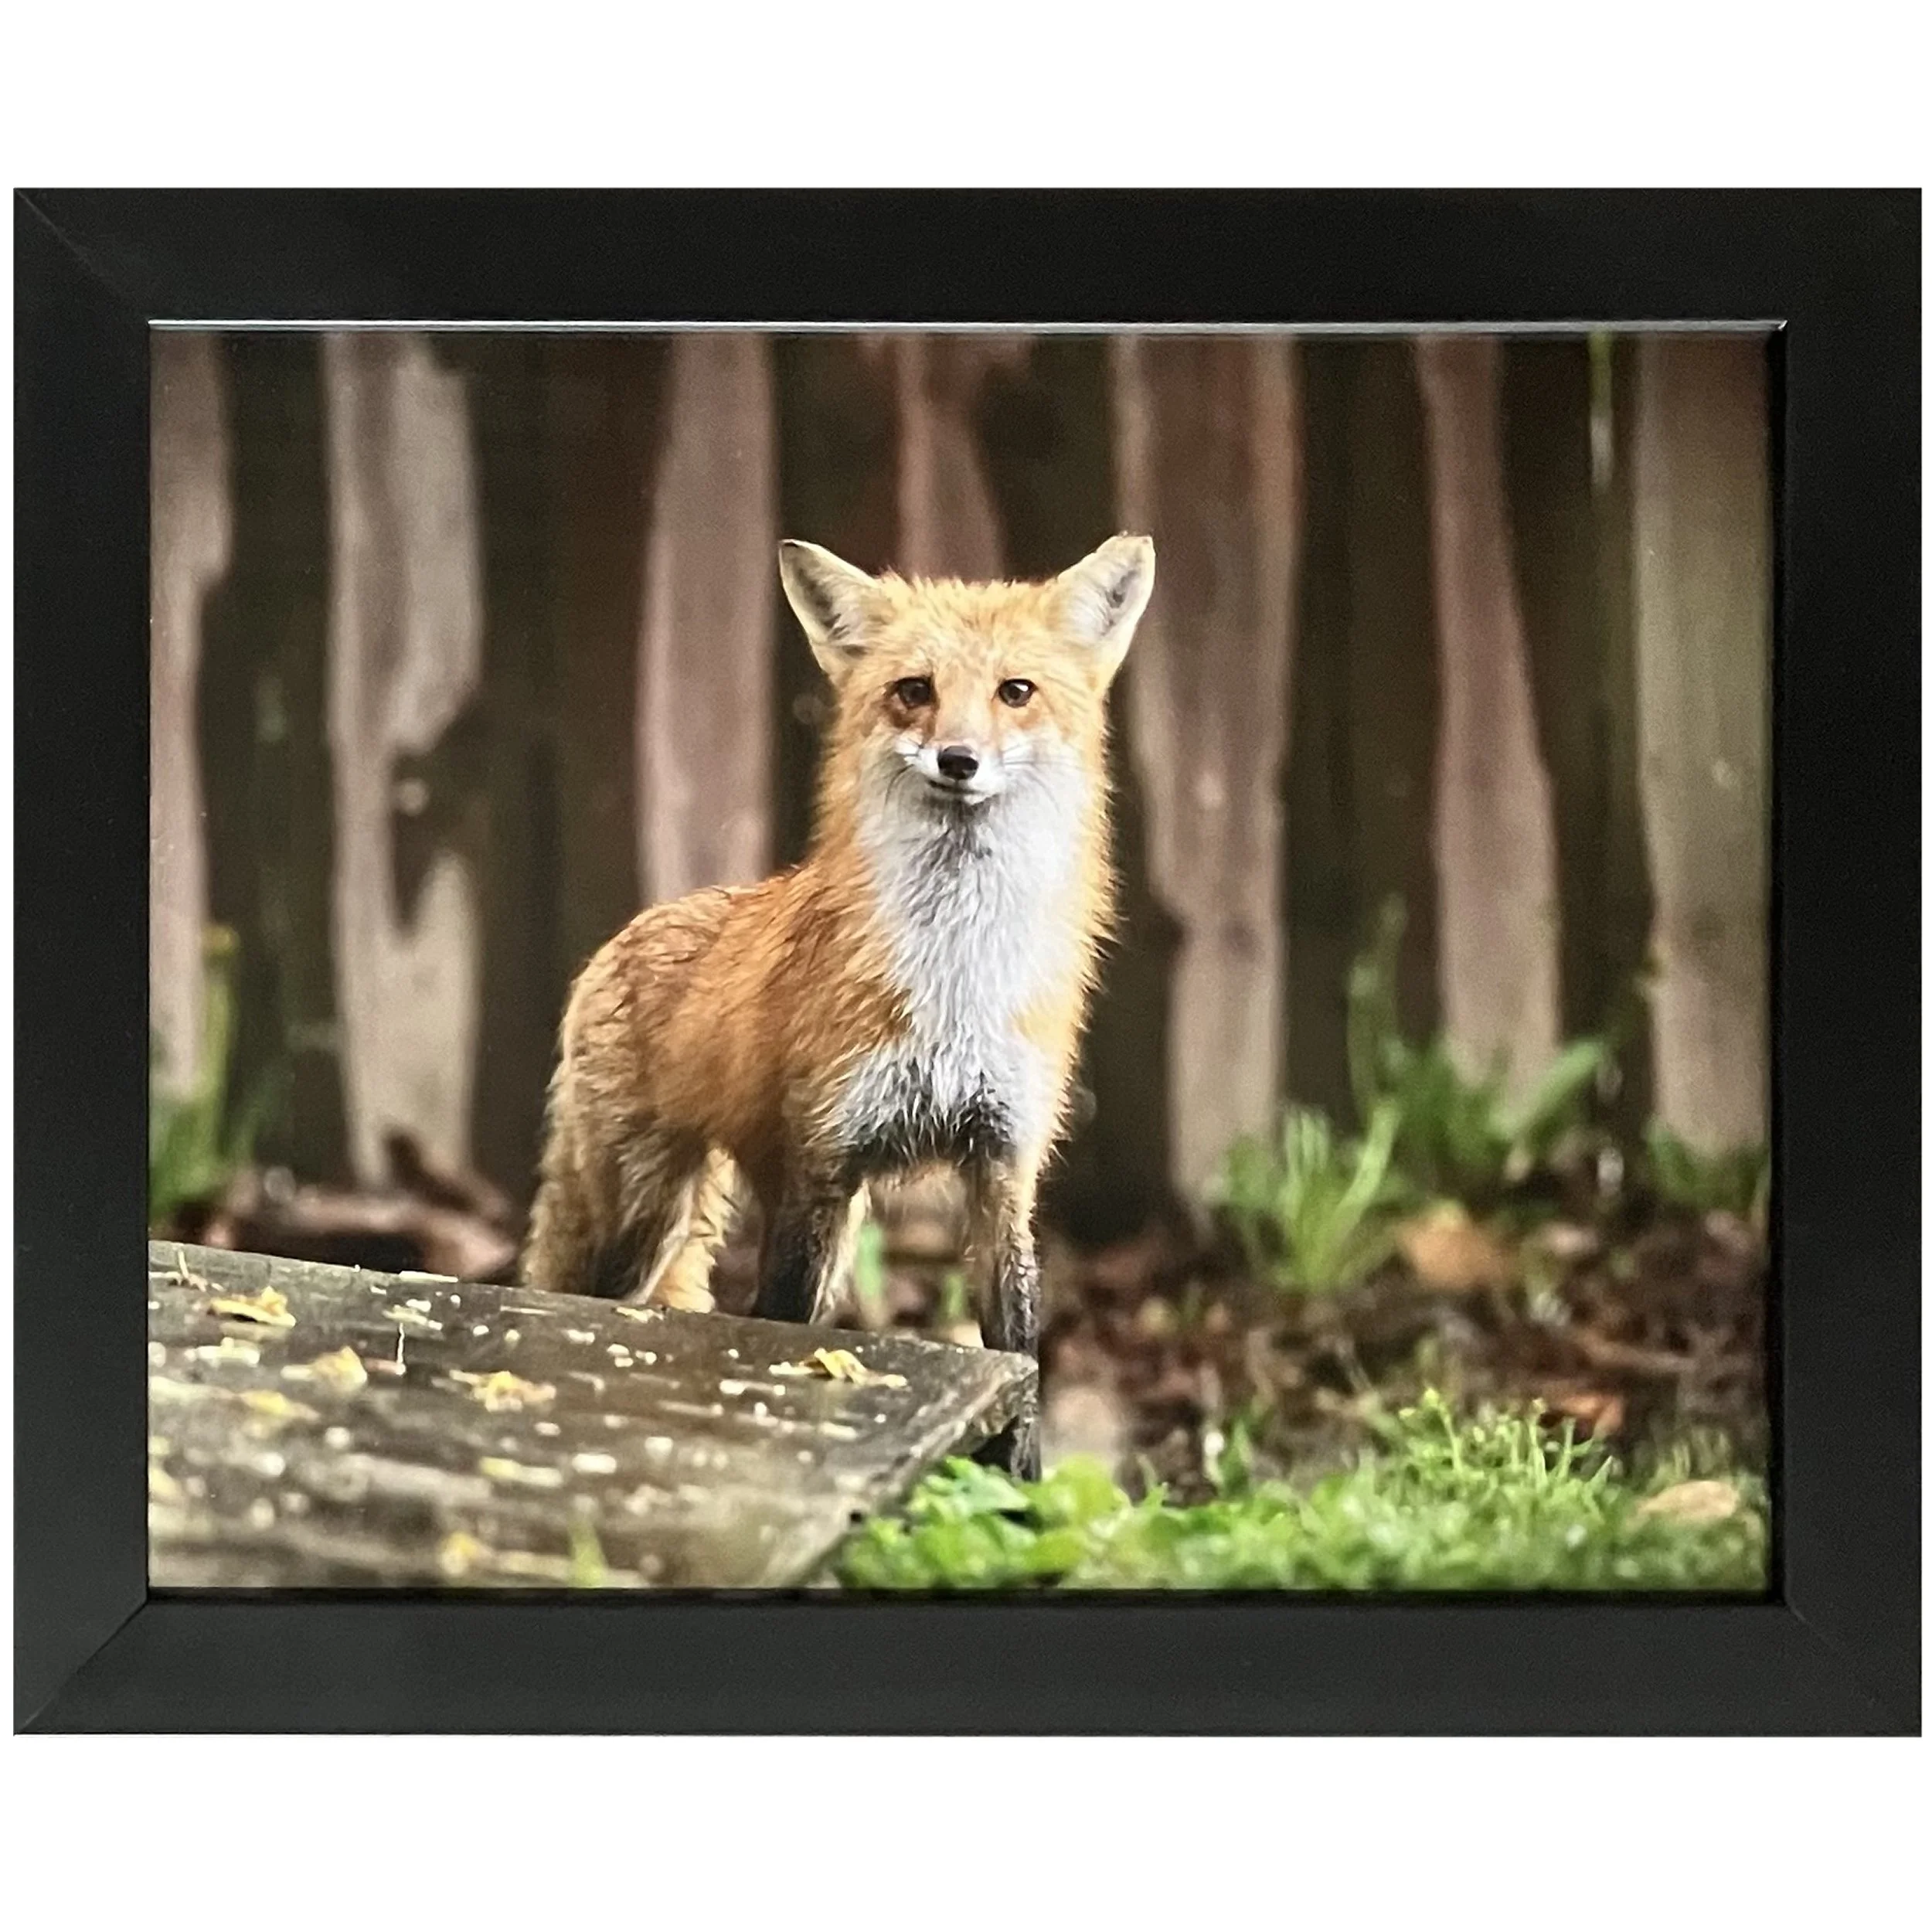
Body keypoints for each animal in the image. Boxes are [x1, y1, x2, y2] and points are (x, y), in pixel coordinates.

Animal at [521, 531, 1156, 1474]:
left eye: (1015, 692)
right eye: (913, 691)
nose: (958, 760)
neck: (951, 984)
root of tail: (627, 932)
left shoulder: (1001, 1167)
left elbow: (1021, 1367)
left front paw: (1022, 1496)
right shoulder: (821, 1162)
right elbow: (781, 1331)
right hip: (647, 1217)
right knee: (602, 1297)